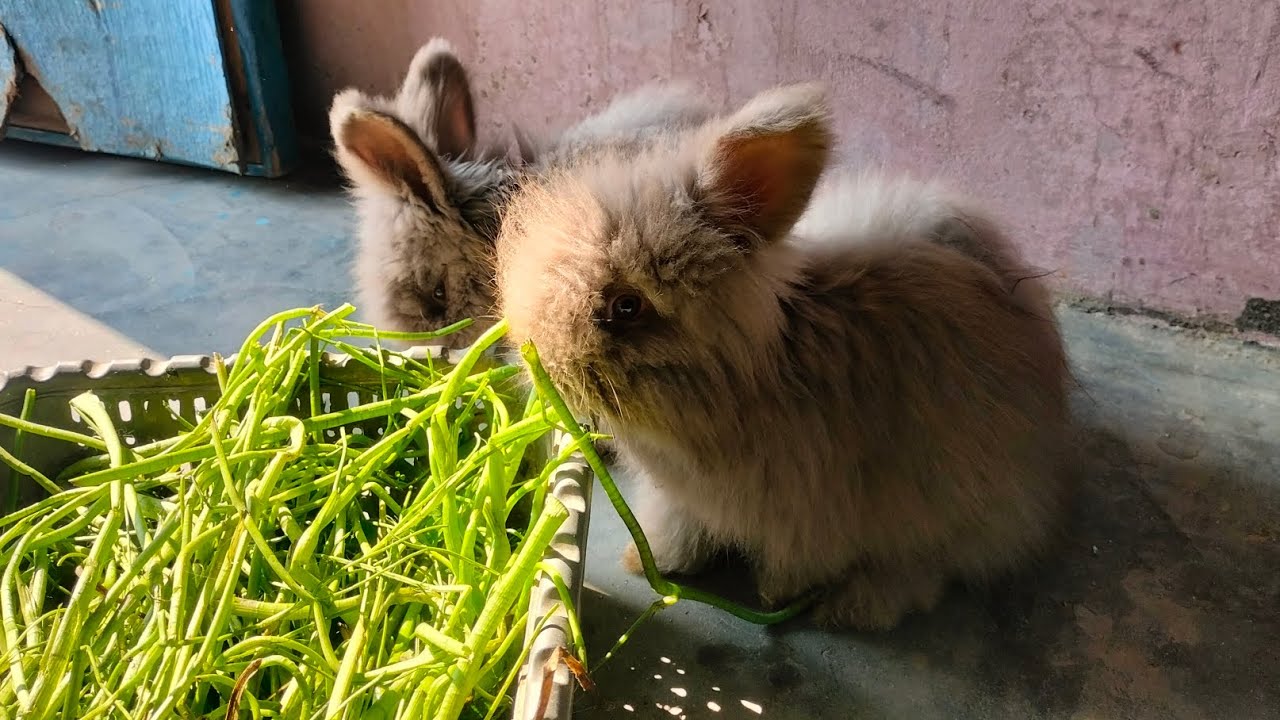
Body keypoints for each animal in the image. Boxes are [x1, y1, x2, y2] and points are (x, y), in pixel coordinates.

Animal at [494, 82, 1074, 631]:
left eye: (626, 305)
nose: (533, 356)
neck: (757, 378)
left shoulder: (815, 515)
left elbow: (800, 564)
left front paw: (777, 594)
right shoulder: (684, 501)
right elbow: (680, 531)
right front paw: (651, 561)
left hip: (952, 504)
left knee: (923, 569)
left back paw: (856, 610)